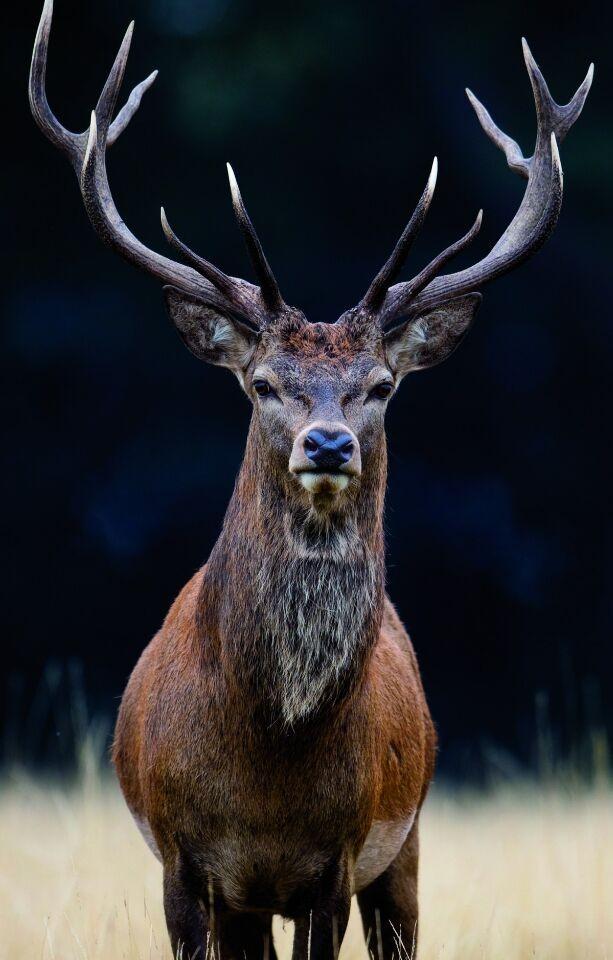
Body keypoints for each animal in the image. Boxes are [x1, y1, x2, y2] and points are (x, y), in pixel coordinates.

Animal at [31, 3, 592, 956]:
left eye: (381, 385)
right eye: (261, 383)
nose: (327, 444)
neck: (269, 759)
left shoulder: (339, 858)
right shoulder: (182, 859)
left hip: (406, 846)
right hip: (250, 898)